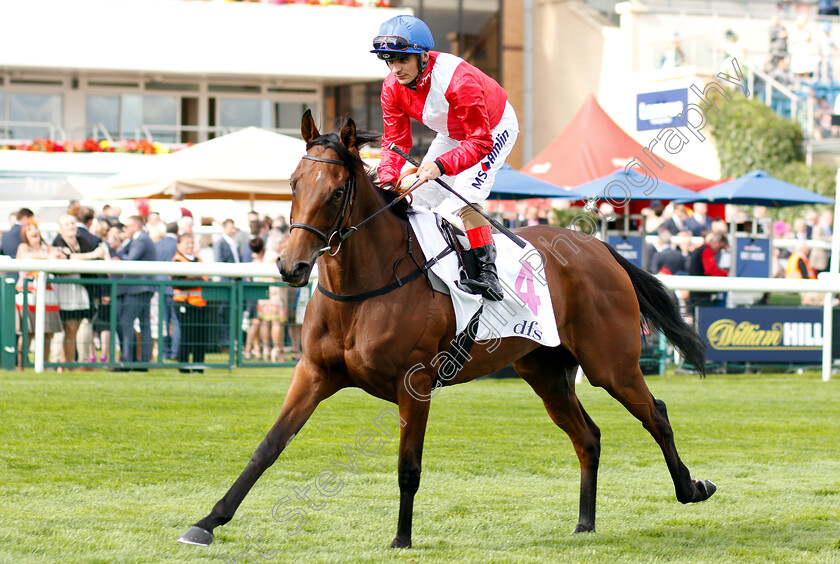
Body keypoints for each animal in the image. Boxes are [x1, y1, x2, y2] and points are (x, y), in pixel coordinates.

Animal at [179, 112, 716, 548]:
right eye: (292, 183)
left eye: (335, 191)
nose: (290, 267)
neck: (366, 286)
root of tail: (600, 248)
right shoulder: (313, 372)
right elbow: (268, 446)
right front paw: (207, 522)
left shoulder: (413, 384)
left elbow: (407, 466)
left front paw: (401, 539)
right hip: (544, 371)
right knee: (588, 436)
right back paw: (585, 524)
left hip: (611, 364)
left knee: (656, 415)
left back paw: (691, 488)